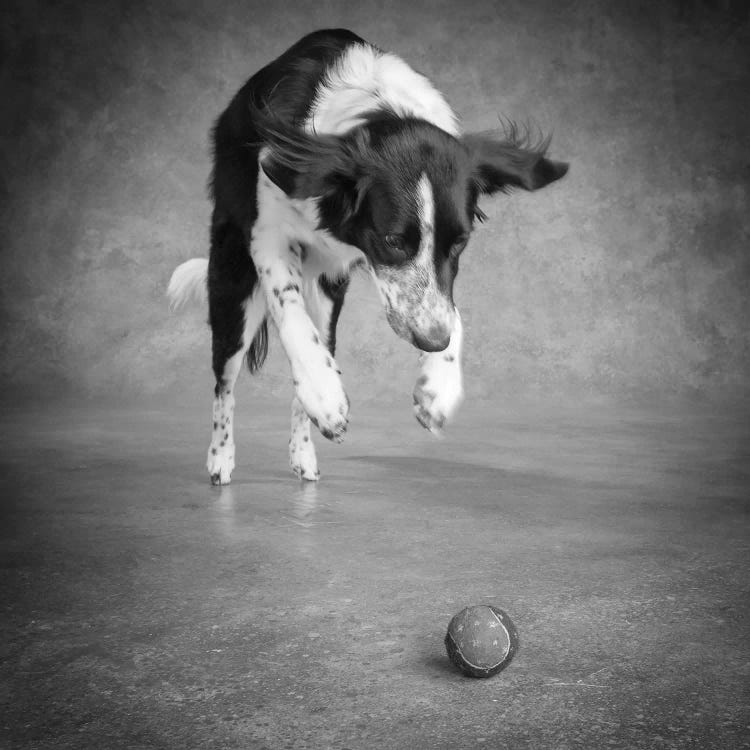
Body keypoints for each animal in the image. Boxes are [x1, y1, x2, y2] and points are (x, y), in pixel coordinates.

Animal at [169, 27, 568, 488]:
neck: (379, 107)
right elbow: (290, 314)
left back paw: (304, 454)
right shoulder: (267, 238)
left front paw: (439, 384)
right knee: (225, 381)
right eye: (393, 240)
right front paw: (324, 394)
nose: (433, 342)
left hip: (327, 297)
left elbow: (451, 309)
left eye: (459, 243)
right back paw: (222, 456)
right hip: (233, 283)